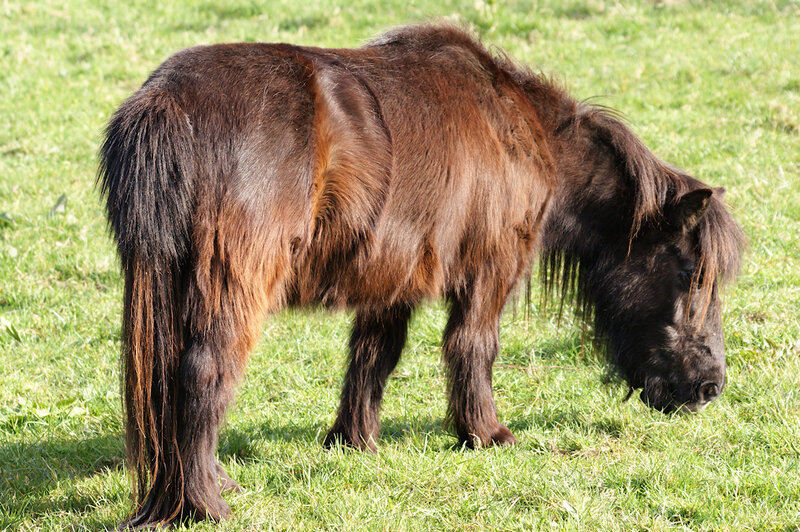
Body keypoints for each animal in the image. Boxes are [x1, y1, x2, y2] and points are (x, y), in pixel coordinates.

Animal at [98, 24, 744, 527]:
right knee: (203, 376)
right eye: (691, 274)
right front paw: (486, 435)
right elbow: (473, 347)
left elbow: (372, 358)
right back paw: (206, 505)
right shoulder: (489, 268)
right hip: (232, 286)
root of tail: (163, 106)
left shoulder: (394, 278)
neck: (520, 129)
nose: (709, 387)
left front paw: (353, 442)